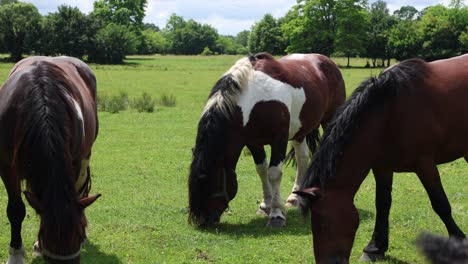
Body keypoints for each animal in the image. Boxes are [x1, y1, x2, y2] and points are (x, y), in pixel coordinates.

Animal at [0, 56, 102, 262]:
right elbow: (15, 209)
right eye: (46, 234)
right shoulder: (7, 168)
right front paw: (15, 255)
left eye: (78, 234)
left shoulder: (75, 161)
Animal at [188, 52, 346, 227]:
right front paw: (265, 206)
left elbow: (274, 174)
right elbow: (262, 170)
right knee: (302, 157)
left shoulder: (279, 140)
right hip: (299, 131)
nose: (203, 220)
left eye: (210, 181)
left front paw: (276, 215)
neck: (255, 98)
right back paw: (294, 198)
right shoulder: (253, 142)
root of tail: (327, 61)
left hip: (330, 119)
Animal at [296, 54, 468, 264]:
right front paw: (375, 247)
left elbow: (440, 204)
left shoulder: (425, 164)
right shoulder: (382, 167)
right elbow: (383, 203)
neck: (389, 112)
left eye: (323, 223)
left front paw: (459, 242)